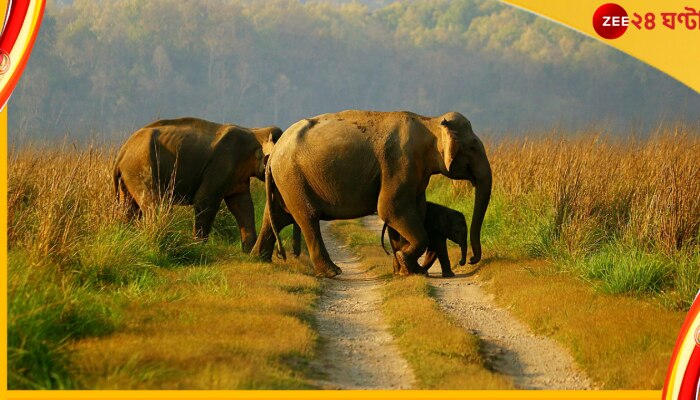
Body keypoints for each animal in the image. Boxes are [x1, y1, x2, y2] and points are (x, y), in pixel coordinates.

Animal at [113, 117, 280, 252]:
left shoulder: (238, 176)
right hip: (140, 167)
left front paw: (249, 250)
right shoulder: (221, 164)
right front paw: (199, 246)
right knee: (155, 203)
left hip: (128, 176)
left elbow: (242, 205)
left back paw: (129, 237)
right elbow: (204, 200)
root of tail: (121, 152)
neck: (255, 132)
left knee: (130, 208)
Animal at [253, 111, 492, 276]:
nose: (471, 260)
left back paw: (259, 259)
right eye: (473, 147)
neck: (430, 122)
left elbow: (411, 211)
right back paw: (333, 272)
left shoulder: (415, 173)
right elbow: (390, 209)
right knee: (307, 218)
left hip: (286, 182)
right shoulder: (399, 164)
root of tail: (274, 153)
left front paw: (407, 270)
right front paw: (407, 263)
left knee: (276, 217)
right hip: (294, 178)